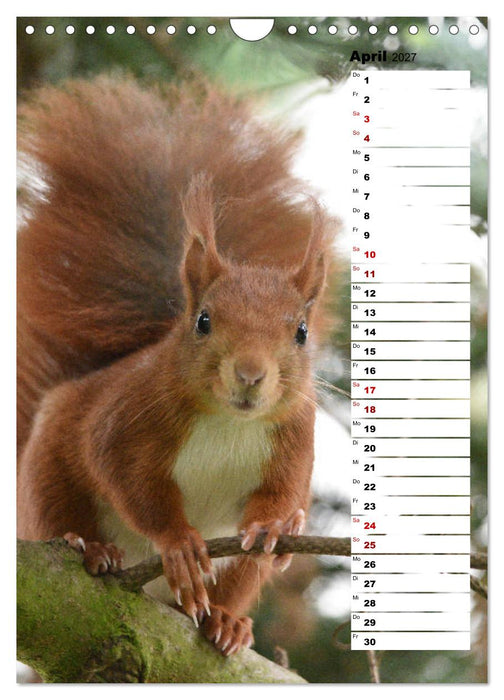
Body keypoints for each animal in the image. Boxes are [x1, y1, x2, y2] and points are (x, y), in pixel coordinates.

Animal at [17, 76, 335, 656]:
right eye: (203, 321)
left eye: (302, 332)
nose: (250, 375)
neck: (230, 422)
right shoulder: (128, 418)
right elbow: (128, 478)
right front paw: (180, 543)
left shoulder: (295, 437)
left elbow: (285, 491)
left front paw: (282, 522)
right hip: (48, 469)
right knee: (56, 512)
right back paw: (88, 547)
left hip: (239, 573)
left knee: (238, 582)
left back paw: (227, 622)